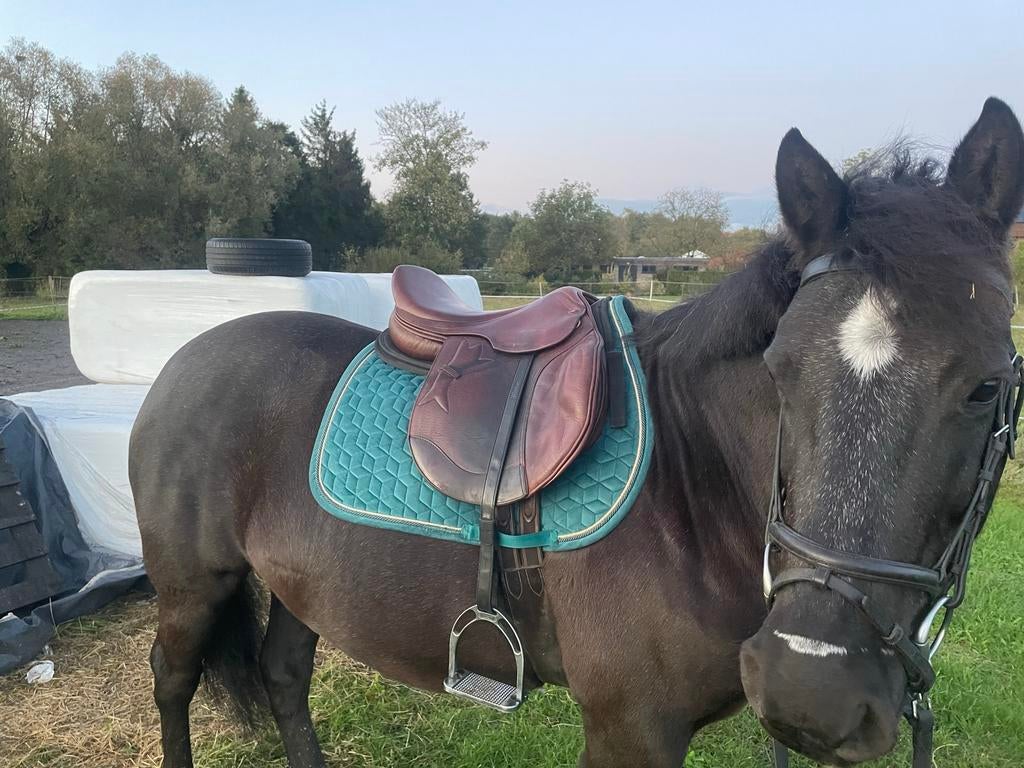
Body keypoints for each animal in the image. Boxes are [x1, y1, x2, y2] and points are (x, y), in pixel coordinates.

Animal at [129, 97, 1024, 768]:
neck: (690, 485)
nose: (814, 690)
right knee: (171, 679)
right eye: (779, 371)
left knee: (284, 676)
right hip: (193, 583)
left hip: (299, 582)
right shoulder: (631, 730)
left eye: (987, 386)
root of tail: (184, 359)